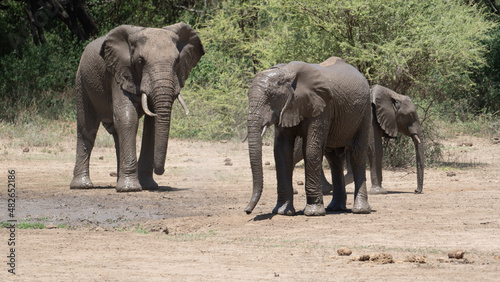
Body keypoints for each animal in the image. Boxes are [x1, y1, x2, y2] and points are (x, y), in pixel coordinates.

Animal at [69, 23, 204, 193]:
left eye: (177, 60)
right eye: (140, 61)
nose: (160, 170)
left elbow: (151, 125)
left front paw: (148, 186)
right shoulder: (119, 73)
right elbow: (128, 117)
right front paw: (131, 189)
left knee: (115, 133)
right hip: (81, 81)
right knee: (87, 129)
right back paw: (82, 186)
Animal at [244, 56, 374, 216]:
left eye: (271, 96)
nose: (247, 211)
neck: (287, 73)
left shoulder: (322, 107)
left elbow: (311, 150)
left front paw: (313, 212)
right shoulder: (286, 109)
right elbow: (282, 152)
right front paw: (282, 211)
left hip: (365, 112)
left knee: (357, 154)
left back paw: (360, 210)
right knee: (334, 159)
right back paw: (335, 208)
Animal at [292, 83, 426, 194]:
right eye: (411, 115)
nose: (416, 191)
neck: (391, 95)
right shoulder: (370, 119)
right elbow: (376, 149)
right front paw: (379, 191)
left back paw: (325, 189)